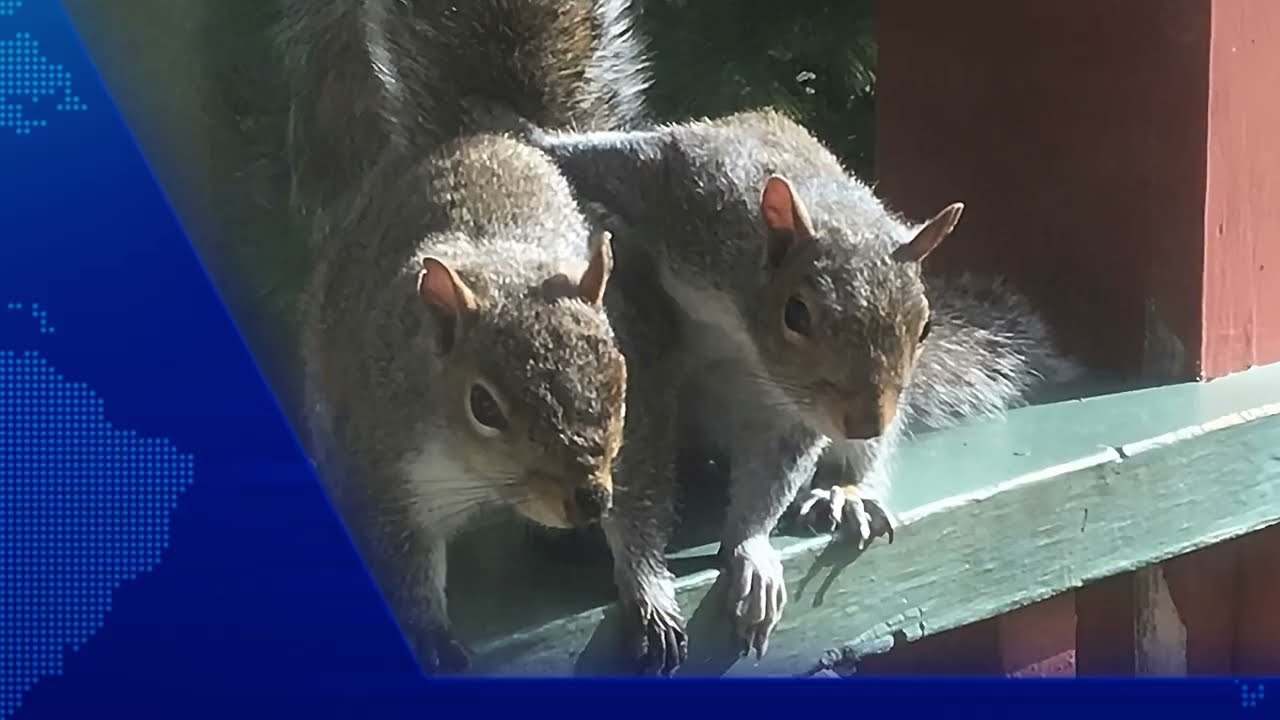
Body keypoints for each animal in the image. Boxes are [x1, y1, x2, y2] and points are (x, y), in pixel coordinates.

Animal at [278, 0, 651, 674]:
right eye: (485, 406)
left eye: (620, 382)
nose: (588, 500)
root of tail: (482, 131)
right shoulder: (385, 460)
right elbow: (401, 557)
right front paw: (428, 635)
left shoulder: (634, 437)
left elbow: (643, 498)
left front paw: (649, 594)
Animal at [510, 109, 1084, 665]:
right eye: (797, 314)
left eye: (925, 326)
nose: (867, 423)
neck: (741, 310)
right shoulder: (686, 193)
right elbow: (610, 158)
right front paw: (539, 139)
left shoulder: (794, 414)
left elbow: (773, 476)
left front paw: (750, 551)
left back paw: (846, 493)